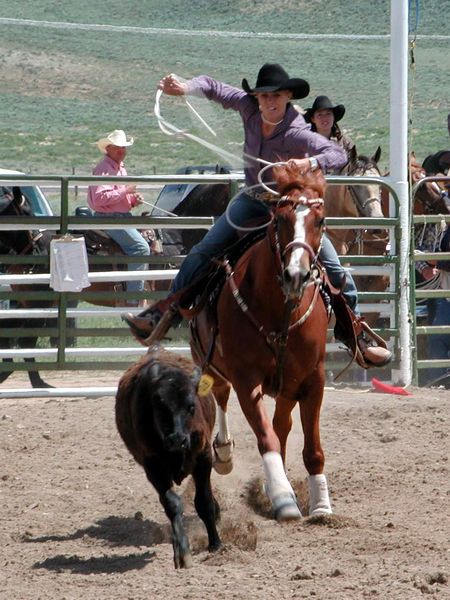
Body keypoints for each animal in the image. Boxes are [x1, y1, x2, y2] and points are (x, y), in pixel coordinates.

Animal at [188, 166, 332, 524]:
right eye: (279, 219)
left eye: (320, 221)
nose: (296, 275)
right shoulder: (245, 380)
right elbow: (266, 438)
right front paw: (282, 498)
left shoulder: (314, 378)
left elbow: (312, 448)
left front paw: (321, 505)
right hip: (211, 363)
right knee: (221, 398)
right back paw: (225, 454)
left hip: (287, 386)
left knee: (282, 424)